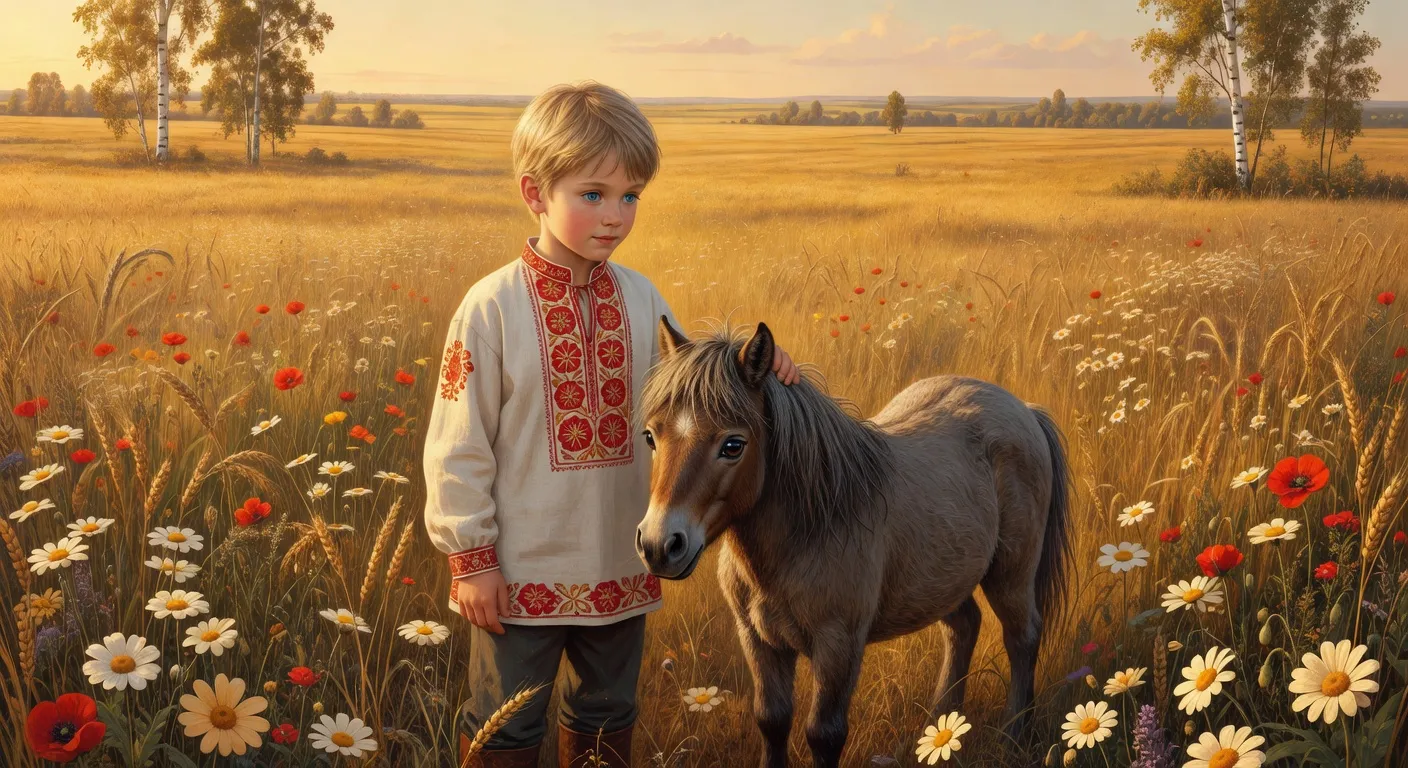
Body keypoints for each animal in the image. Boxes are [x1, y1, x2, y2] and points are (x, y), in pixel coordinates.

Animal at [633, 318, 1071, 768]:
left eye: (733, 445)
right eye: (651, 436)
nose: (660, 545)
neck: (811, 528)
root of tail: (1023, 410)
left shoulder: (838, 646)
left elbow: (824, 735)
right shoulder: (758, 640)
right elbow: (772, 722)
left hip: (1010, 577)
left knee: (1022, 637)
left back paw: (1013, 736)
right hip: (945, 580)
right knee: (963, 626)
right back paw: (939, 729)